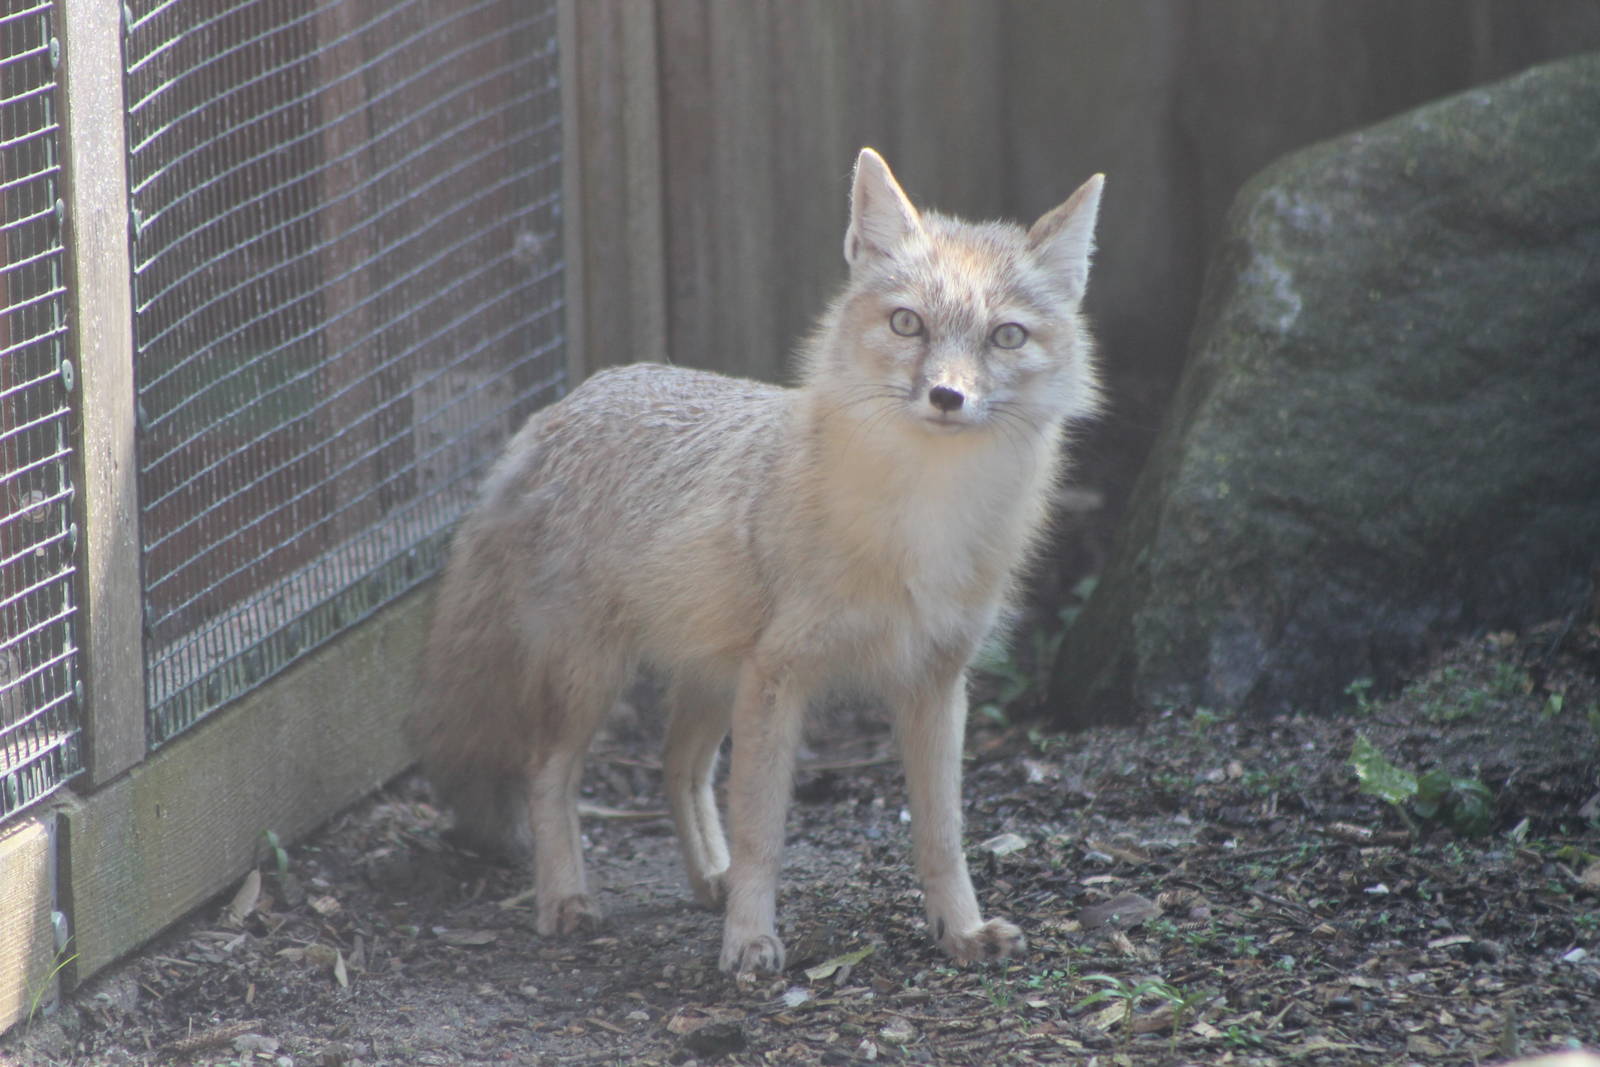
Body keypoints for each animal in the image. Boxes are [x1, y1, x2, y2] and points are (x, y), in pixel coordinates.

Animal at [410, 148, 1105, 976]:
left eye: (1005, 336)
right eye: (908, 322)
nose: (946, 395)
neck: (920, 522)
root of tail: (555, 409)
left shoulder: (934, 680)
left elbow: (942, 833)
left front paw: (959, 929)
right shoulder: (781, 678)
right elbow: (763, 831)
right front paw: (748, 939)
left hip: (711, 679)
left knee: (678, 767)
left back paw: (709, 877)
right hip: (594, 679)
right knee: (549, 770)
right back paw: (567, 897)